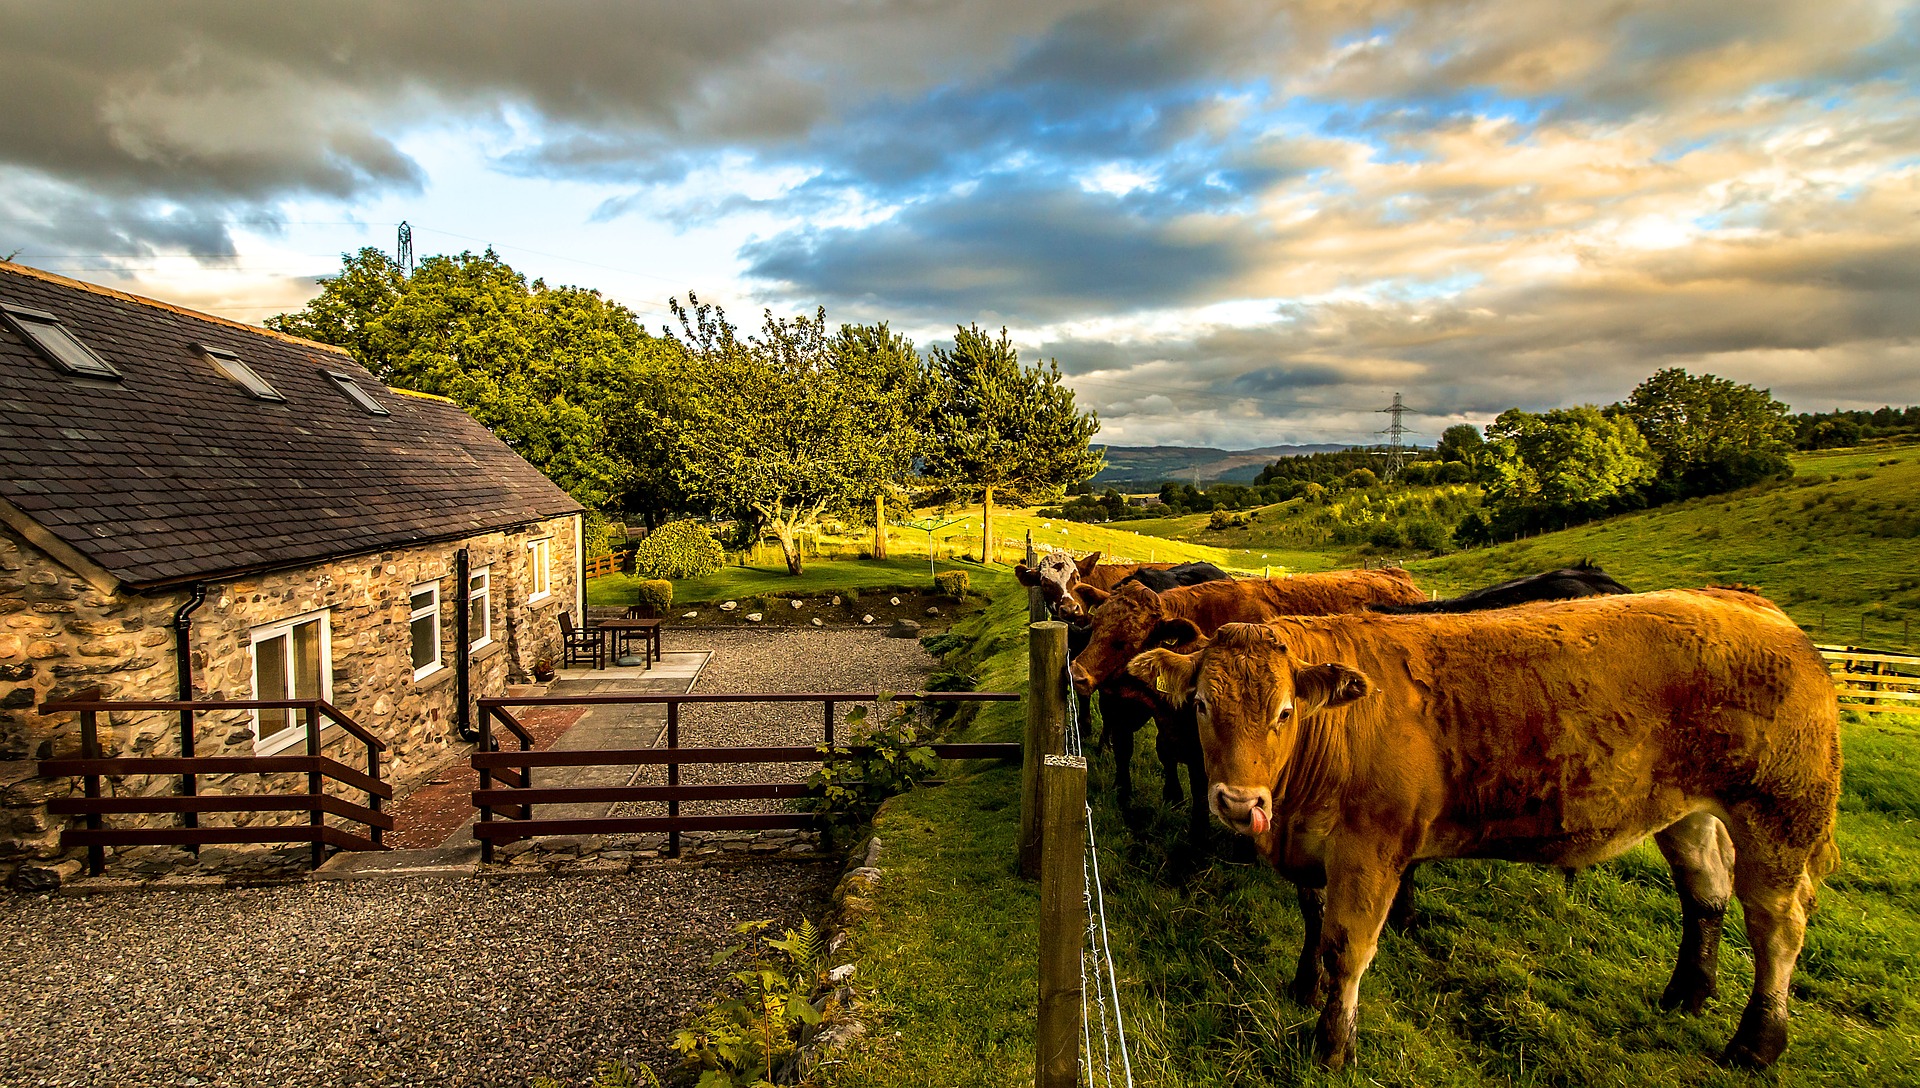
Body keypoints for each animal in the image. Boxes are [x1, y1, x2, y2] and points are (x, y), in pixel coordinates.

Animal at [1121, 591, 1843, 1066]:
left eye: (1284, 711)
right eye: (1201, 704)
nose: (1238, 803)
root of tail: (1756, 606)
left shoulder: (1371, 853)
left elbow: (1346, 947)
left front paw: (1332, 1045)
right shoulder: (1313, 845)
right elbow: (1311, 921)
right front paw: (1304, 987)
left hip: (1781, 816)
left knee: (1778, 928)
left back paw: (1756, 1043)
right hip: (1688, 811)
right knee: (1705, 891)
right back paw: (1687, 992)